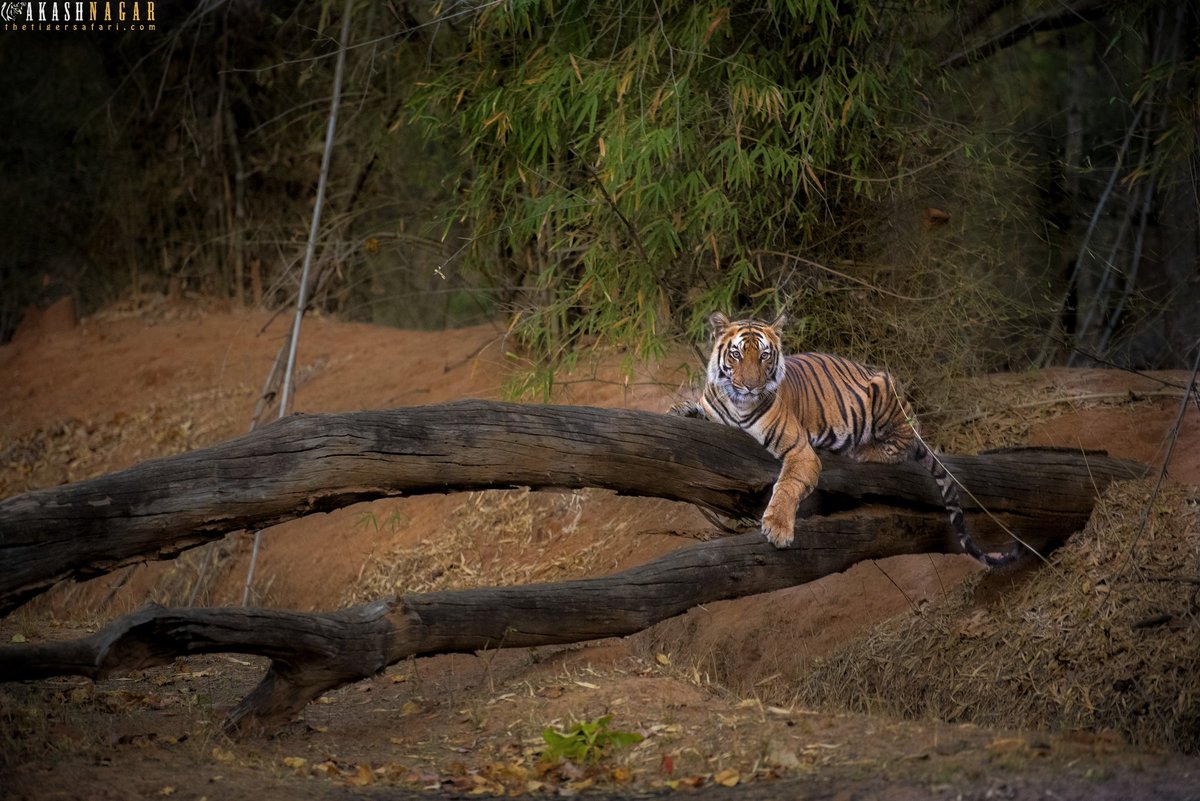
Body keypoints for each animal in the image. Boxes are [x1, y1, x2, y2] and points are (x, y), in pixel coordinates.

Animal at [671, 312, 1018, 567]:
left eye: (765, 356)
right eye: (737, 354)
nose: (751, 386)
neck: (737, 403)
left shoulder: (800, 451)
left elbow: (787, 485)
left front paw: (778, 529)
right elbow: (689, 408)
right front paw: (679, 410)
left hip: (885, 391)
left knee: (905, 441)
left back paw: (863, 451)